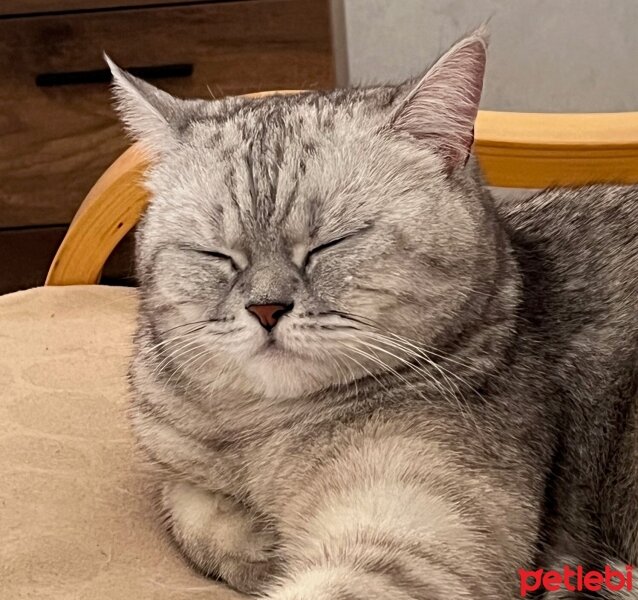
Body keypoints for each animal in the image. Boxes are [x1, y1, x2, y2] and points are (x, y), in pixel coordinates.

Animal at [107, 29, 636, 600]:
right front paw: (255, 544)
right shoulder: (176, 465)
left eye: (331, 243)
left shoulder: (413, 546)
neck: (256, 434)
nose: (266, 308)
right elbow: (188, 508)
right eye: (216, 254)